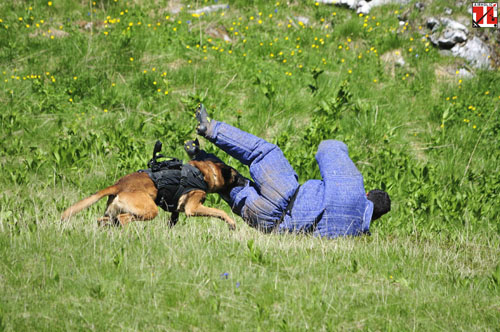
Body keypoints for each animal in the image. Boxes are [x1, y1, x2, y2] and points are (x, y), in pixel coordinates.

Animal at [60, 158, 244, 230]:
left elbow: (172, 222)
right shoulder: (192, 208)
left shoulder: (176, 212)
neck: (205, 173)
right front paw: (231, 222)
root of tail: (119, 185)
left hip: (110, 213)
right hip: (149, 210)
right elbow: (219, 212)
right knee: (123, 219)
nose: (248, 181)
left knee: (104, 220)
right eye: (237, 176)